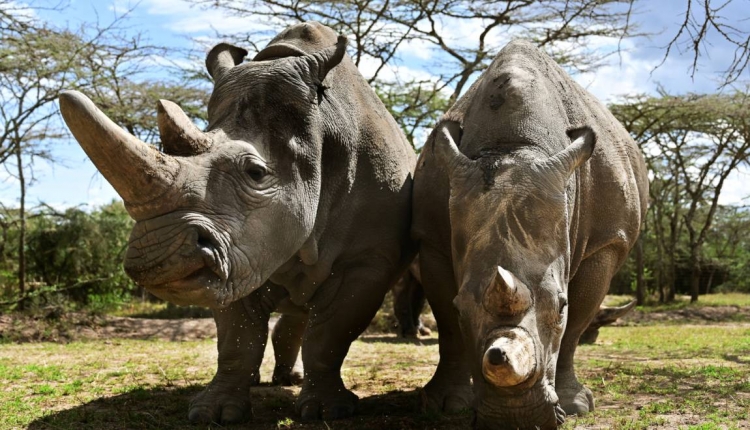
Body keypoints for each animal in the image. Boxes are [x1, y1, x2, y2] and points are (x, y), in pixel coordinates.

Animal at [61, 20, 418, 424]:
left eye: (256, 173)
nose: (155, 257)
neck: (320, 129)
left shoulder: (367, 259)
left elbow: (330, 333)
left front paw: (328, 412)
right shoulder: (236, 253)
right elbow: (237, 337)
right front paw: (214, 412)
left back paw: (293, 381)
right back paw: (275, 379)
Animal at [412, 38, 652, 428]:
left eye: (560, 305)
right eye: (463, 308)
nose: (516, 418)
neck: (513, 144)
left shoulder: (607, 242)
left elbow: (576, 324)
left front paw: (576, 405)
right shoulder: (430, 235)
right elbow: (447, 324)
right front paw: (445, 404)